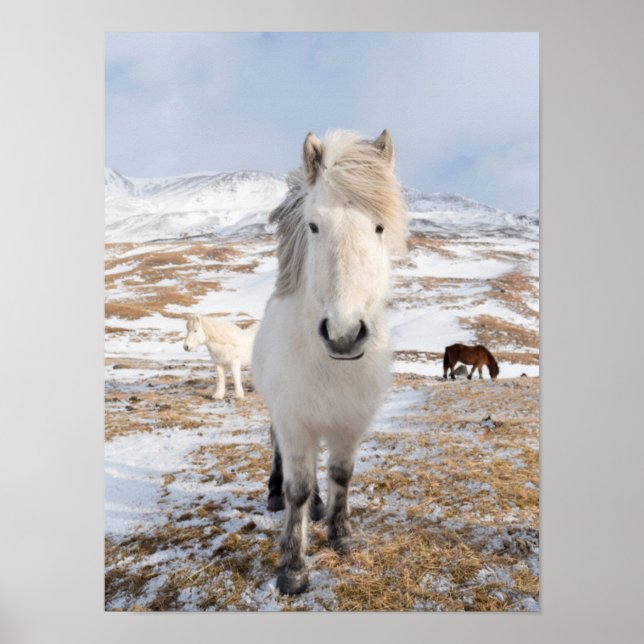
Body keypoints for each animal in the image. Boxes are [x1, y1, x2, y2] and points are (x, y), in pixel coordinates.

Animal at [252, 129, 407, 595]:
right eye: (314, 225)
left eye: (378, 226)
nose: (343, 333)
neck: (331, 364)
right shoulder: (294, 420)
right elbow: (298, 489)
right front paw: (293, 567)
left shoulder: (349, 422)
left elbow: (341, 475)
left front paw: (342, 535)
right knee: (279, 456)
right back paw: (274, 494)